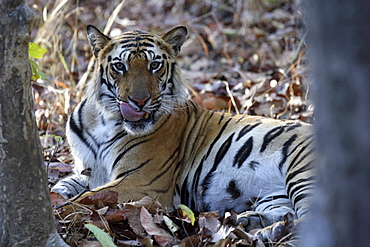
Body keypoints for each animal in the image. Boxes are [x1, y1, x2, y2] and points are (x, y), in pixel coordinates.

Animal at [52, 24, 316, 241]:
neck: (105, 119)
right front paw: (55, 194)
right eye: (120, 66)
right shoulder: (88, 170)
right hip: (274, 195)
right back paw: (255, 224)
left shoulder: (141, 181)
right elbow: (67, 185)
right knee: (287, 213)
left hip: (302, 172)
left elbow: (84, 200)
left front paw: (58, 214)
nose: (139, 101)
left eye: (154, 65)